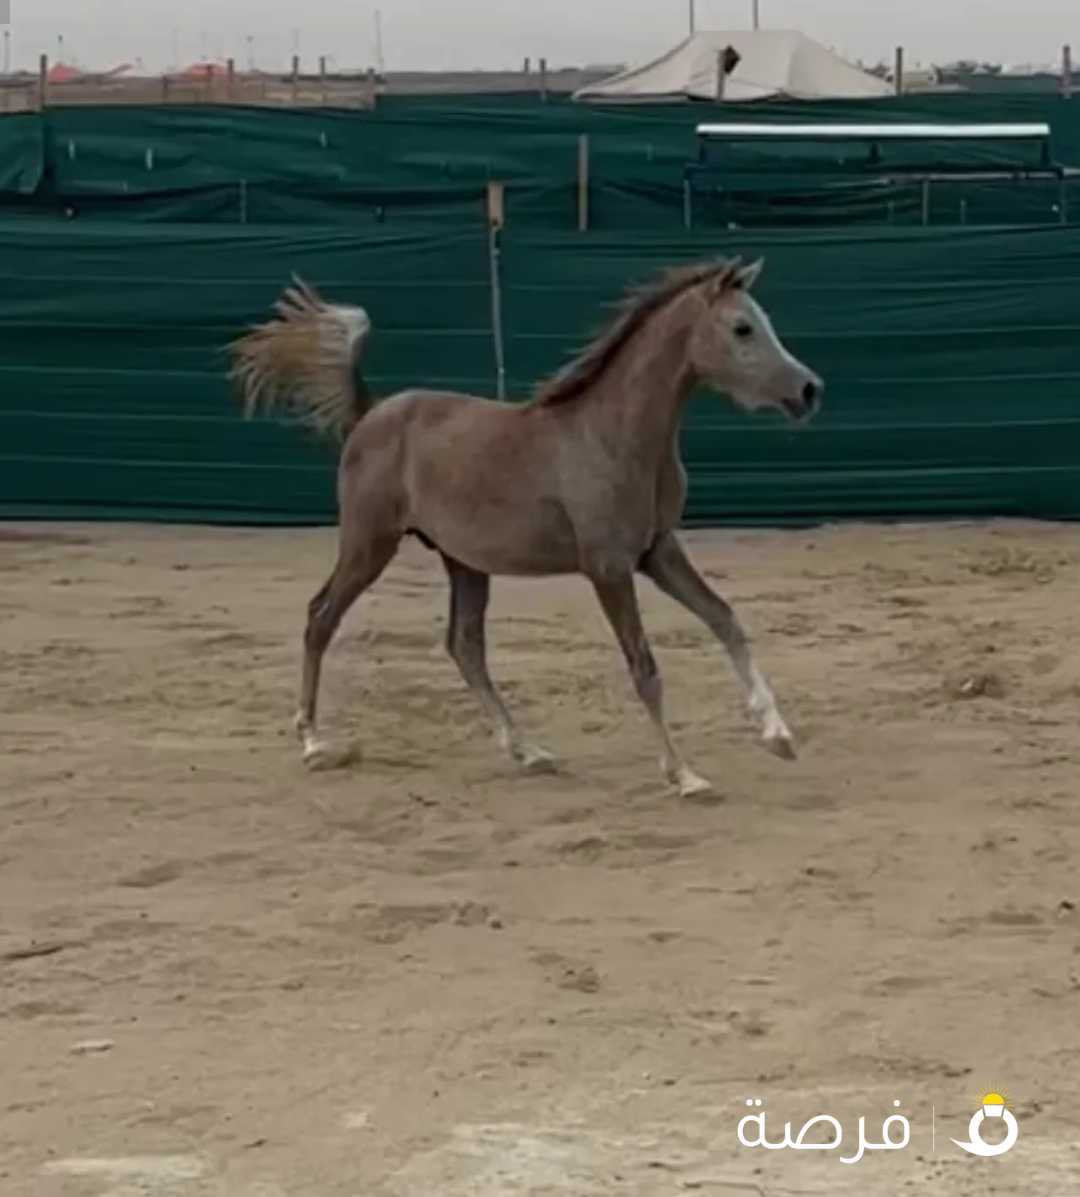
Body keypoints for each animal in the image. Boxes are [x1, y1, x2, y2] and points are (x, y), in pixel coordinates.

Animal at [228, 254, 818, 794]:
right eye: (742, 328)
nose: (809, 389)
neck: (612, 435)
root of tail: (370, 413)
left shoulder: (658, 551)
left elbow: (725, 619)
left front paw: (779, 736)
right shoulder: (608, 568)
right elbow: (644, 668)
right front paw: (684, 773)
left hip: (462, 562)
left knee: (465, 647)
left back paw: (528, 751)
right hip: (368, 545)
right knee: (320, 617)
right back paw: (313, 741)